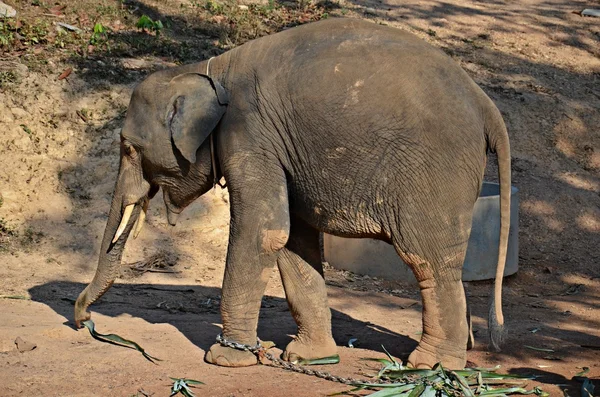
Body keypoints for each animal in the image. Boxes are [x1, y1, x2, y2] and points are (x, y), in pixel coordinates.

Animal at [74, 17, 510, 370]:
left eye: (128, 147)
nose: (82, 321)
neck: (206, 69)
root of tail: (487, 105)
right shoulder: (282, 152)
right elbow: (291, 240)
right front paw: (306, 359)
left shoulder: (248, 133)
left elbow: (262, 233)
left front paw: (225, 358)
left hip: (434, 171)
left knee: (427, 258)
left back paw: (431, 366)